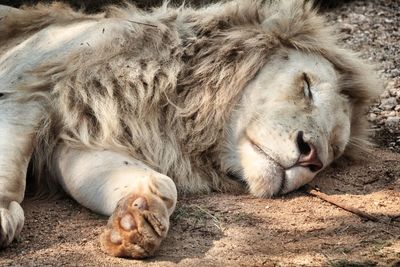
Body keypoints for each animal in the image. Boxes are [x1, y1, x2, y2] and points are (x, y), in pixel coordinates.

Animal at [0, 0, 382, 260]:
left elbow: (159, 182)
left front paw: (136, 219)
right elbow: (11, 158)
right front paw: (4, 214)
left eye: (332, 153)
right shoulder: (30, 81)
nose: (311, 156)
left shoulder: (78, 137)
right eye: (306, 87)